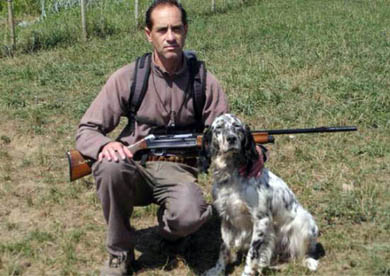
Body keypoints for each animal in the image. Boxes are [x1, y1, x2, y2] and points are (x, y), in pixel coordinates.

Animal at [201, 112, 320, 276]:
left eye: (237, 126)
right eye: (218, 127)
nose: (231, 138)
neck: (231, 173)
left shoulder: (261, 220)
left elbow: (253, 253)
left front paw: (247, 273)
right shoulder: (226, 218)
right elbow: (223, 248)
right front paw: (217, 270)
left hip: (305, 221)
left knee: (304, 253)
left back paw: (310, 262)